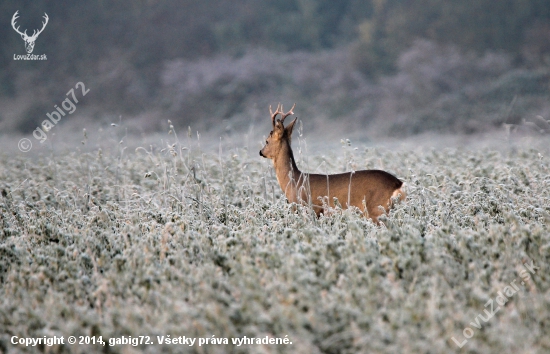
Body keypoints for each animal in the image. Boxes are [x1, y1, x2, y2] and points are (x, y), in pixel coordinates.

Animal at [258, 103, 406, 223]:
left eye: (267, 141)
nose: (260, 151)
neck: (294, 180)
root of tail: (398, 184)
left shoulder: (303, 207)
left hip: (377, 210)